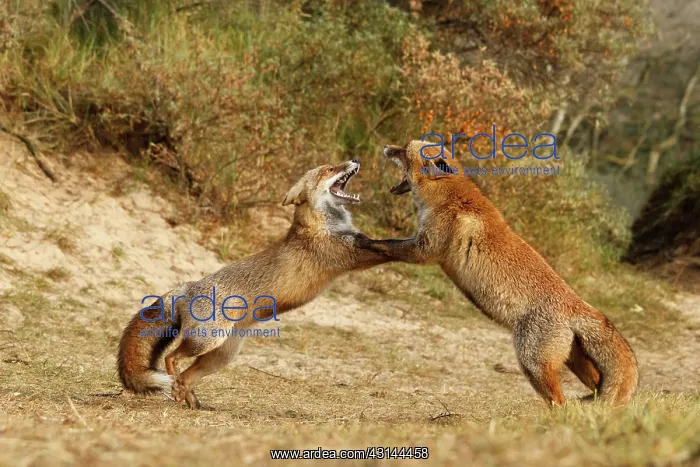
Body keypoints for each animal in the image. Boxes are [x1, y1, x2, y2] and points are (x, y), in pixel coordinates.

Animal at [118, 160, 393, 408]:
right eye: (330, 169)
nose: (354, 160)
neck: (324, 224)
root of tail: (189, 285)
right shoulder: (350, 255)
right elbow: (393, 247)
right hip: (207, 340)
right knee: (171, 358)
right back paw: (176, 389)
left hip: (222, 354)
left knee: (186, 376)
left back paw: (192, 401)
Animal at [359, 141, 639, 407]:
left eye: (404, 150)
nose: (386, 147)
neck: (449, 197)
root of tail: (577, 303)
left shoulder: (425, 249)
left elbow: (388, 244)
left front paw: (365, 241)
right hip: (571, 361)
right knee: (597, 385)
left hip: (532, 363)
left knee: (560, 403)